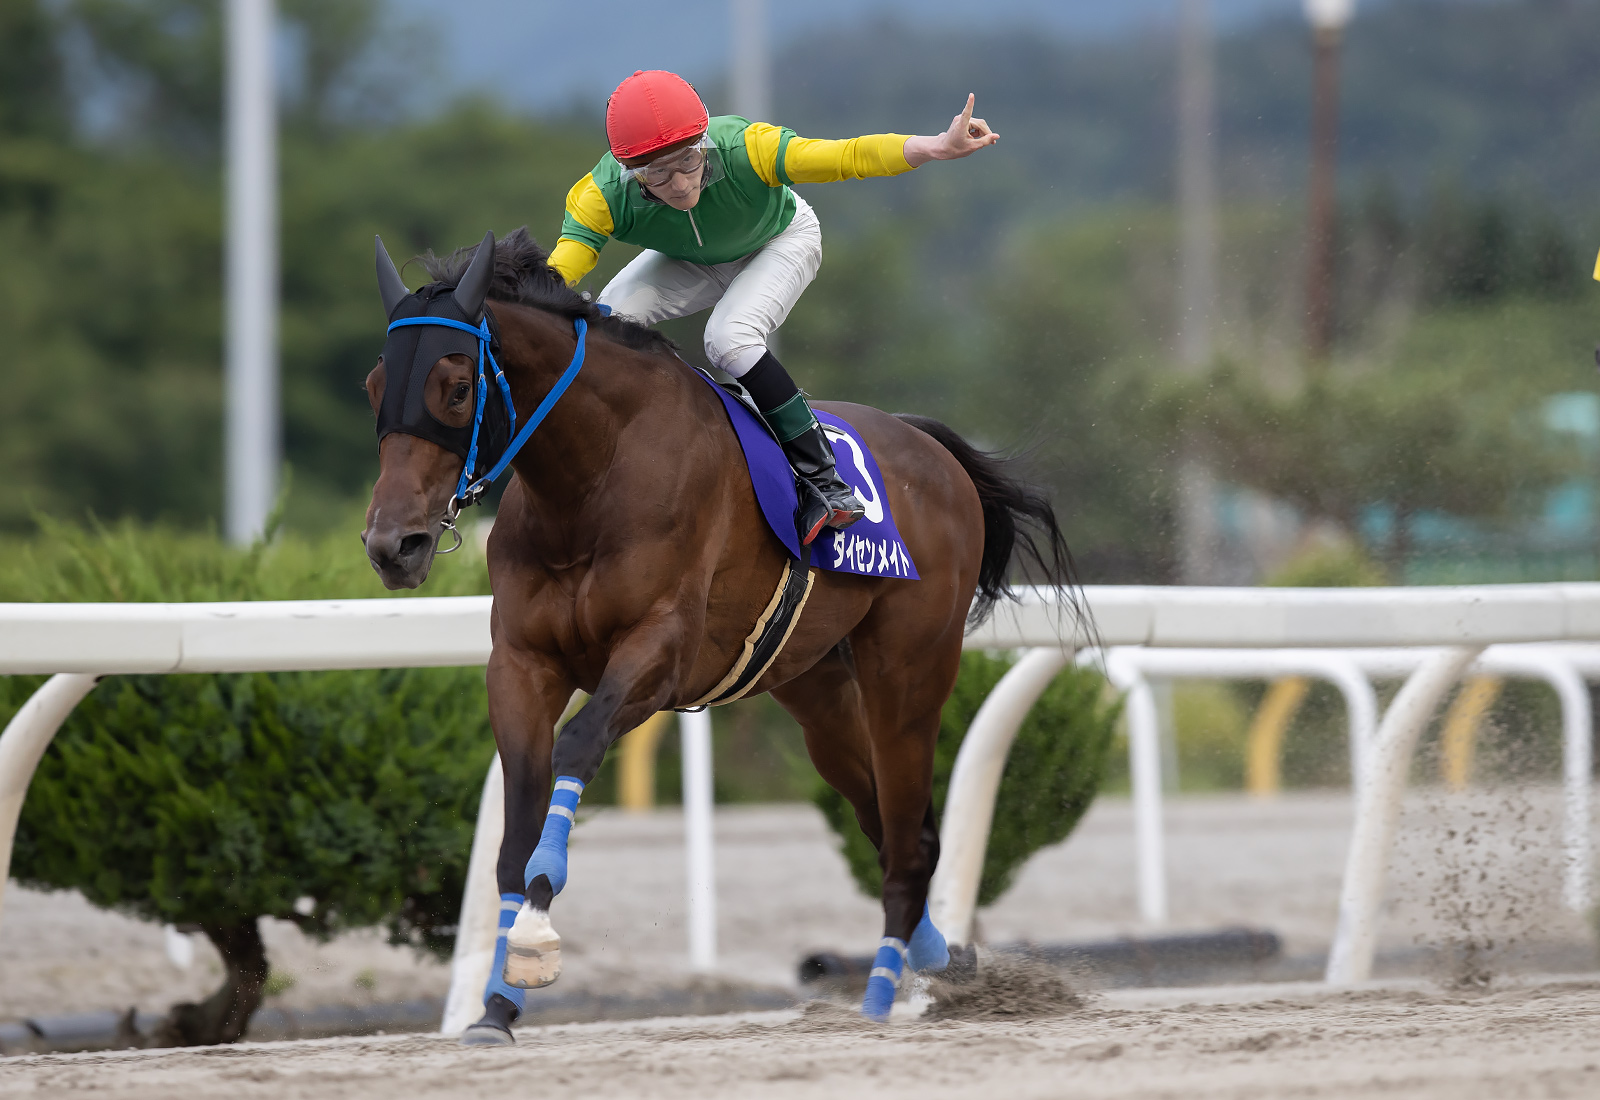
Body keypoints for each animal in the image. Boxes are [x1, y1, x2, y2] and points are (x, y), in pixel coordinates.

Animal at [356, 230, 1068, 1042]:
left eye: (455, 387)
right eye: (376, 387)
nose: (394, 546)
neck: (590, 481)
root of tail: (931, 447)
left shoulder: (660, 653)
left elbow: (578, 747)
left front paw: (535, 935)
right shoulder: (521, 664)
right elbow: (519, 813)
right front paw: (498, 1003)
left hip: (908, 673)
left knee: (909, 834)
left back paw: (882, 997)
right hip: (817, 693)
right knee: (884, 822)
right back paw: (942, 958)